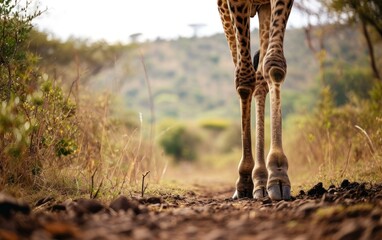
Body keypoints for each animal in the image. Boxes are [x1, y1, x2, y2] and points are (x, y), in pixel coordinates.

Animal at [216, 0, 294, 201]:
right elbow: (244, 80)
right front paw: (244, 179)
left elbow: (274, 64)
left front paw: (278, 172)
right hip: (224, 11)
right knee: (242, 69)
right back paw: (250, 181)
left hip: (263, 8)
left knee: (260, 79)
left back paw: (260, 179)